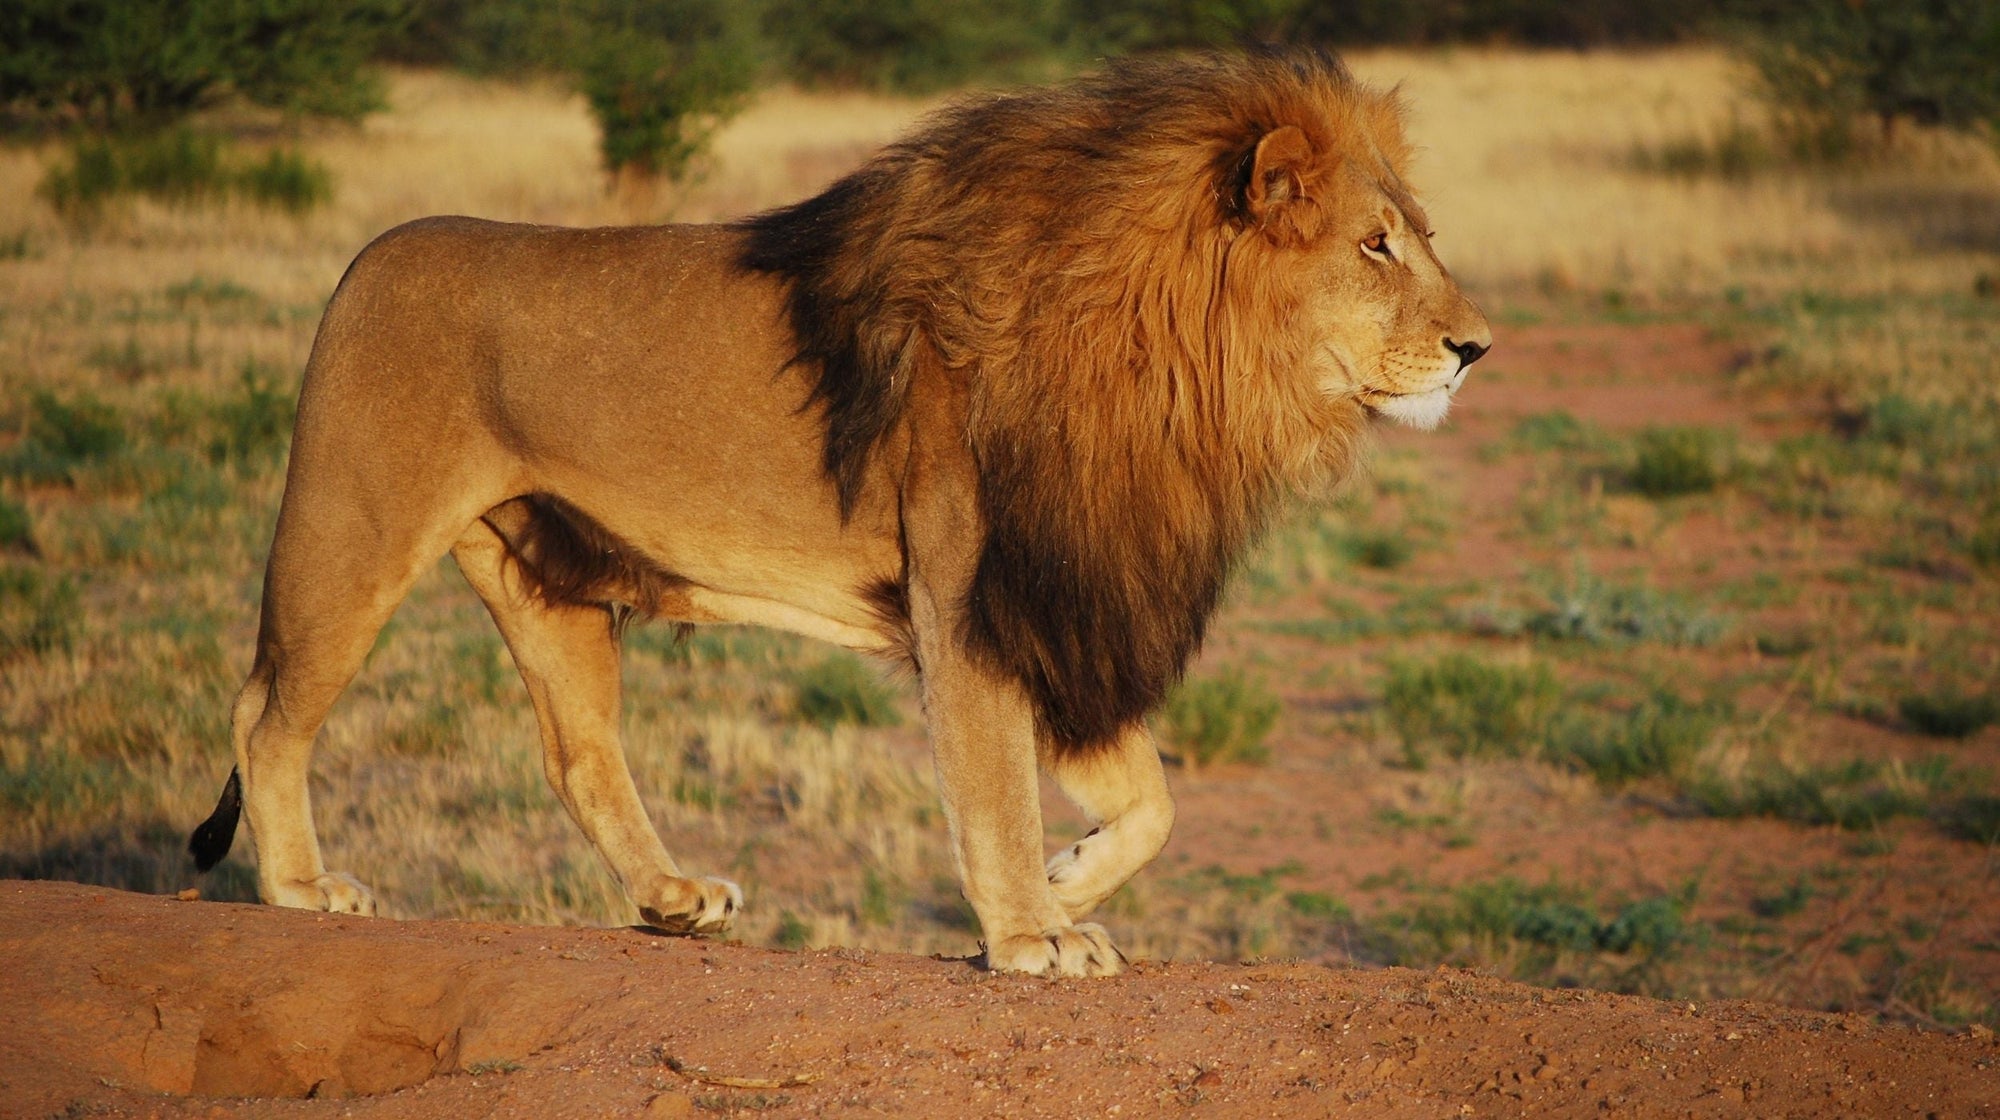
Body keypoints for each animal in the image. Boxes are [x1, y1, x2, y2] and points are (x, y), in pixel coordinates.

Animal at [188, 48, 1489, 977]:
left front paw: (1065, 882)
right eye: (1374, 247)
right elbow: (993, 783)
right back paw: (303, 887)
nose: (1477, 347)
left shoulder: (1055, 596)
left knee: (579, 755)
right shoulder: (972, 594)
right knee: (265, 710)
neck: (1176, 369)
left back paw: (673, 901)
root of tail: (366, 256)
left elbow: (1152, 798)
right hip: (351, 529)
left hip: (543, 574)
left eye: (1421, 237)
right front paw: (1029, 934)